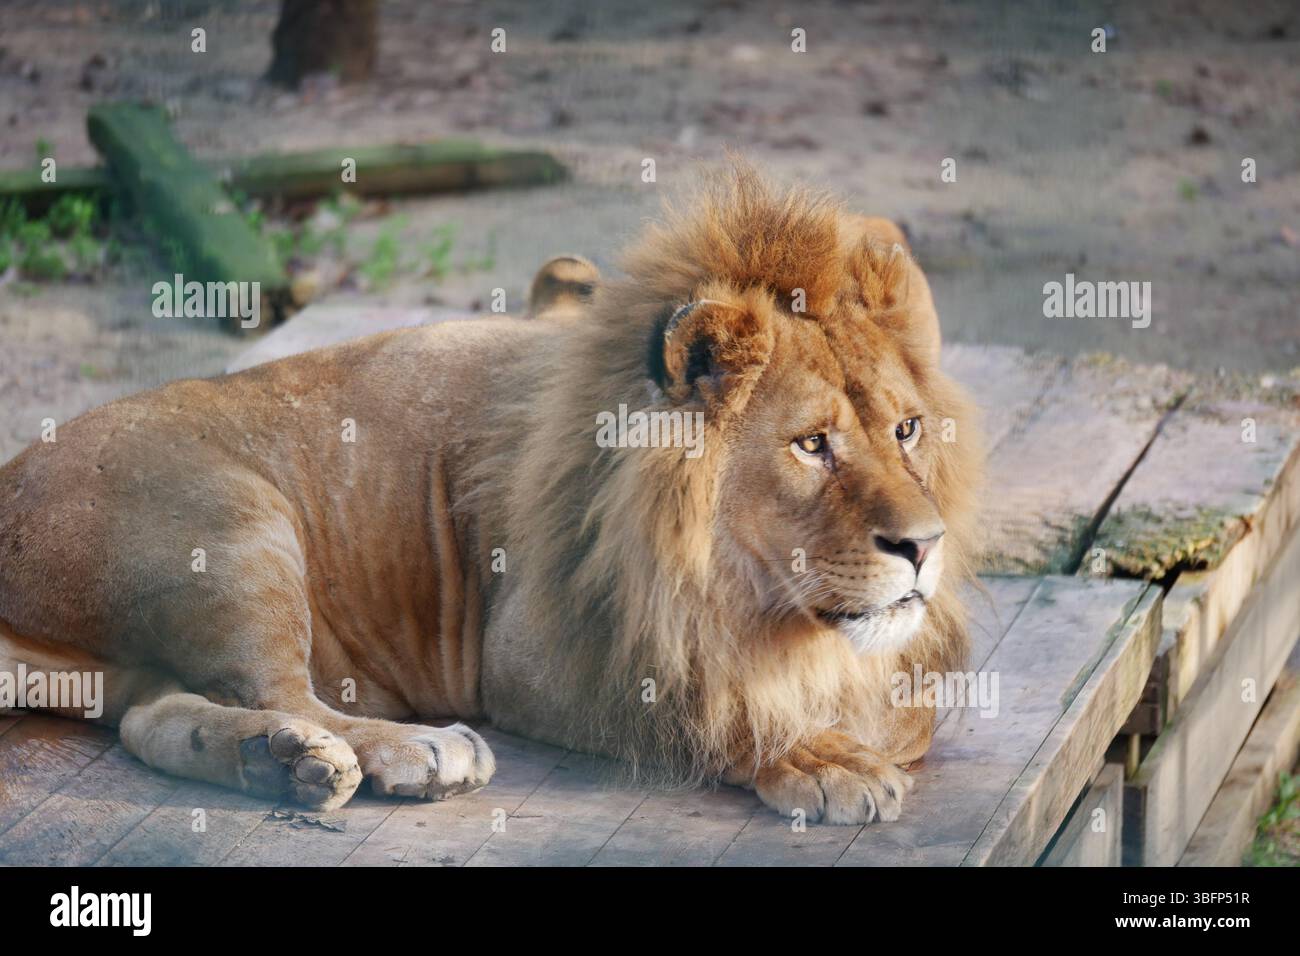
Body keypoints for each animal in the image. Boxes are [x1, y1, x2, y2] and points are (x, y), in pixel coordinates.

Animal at [0, 164, 981, 825]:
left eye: (906, 430)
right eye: (811, 445)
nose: (924, 546)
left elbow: (910, 706)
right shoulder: (541, 654)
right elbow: (717, 709)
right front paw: (820, 757)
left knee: (155, 721)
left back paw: (280, 766)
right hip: (235, 523)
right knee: (281, 688)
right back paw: (415, 751)